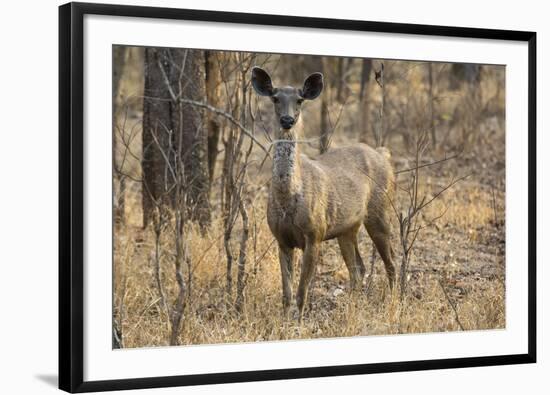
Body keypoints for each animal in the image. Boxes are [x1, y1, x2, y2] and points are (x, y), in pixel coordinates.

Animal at [252, 67, 398, 322]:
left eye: (299, 99)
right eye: (275, 98)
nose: (287, 120)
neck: (288, 199)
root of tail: (384, 154)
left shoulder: (314, 234)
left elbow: (301, 292)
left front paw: (299, 323)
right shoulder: (281, 239)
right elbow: (286, 294)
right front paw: (284, 322)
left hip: (380, 210)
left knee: (391, 263)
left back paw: (394, 304)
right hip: (347, 228)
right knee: (357, 268)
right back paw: (353, 309)